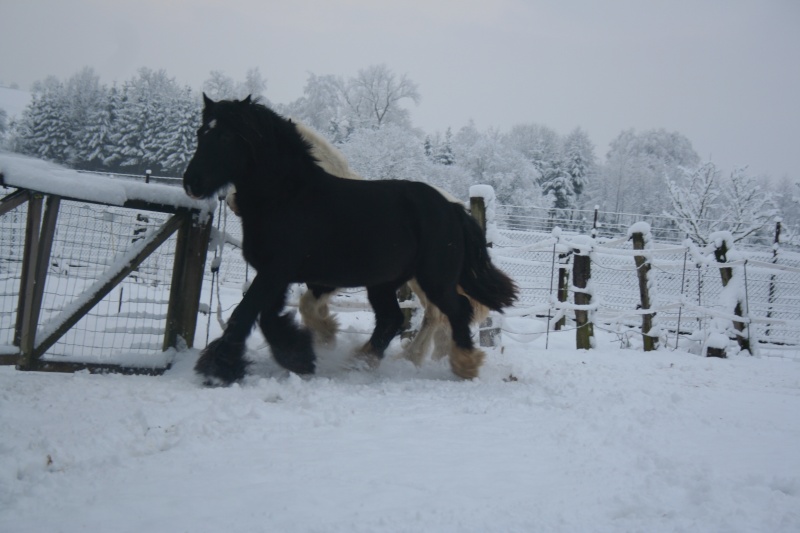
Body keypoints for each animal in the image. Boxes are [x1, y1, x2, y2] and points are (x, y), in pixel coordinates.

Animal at [183, 95, 520, 384]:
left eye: (226, 137)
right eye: (200, 132)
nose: (191, 183)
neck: (289, 196)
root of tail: (452, 208)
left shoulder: (279, 271)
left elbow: (246, 312)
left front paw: (219, 369)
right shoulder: (285, 275)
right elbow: (271, 314)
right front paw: (303, 352)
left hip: (432, 279)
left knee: (451, 311)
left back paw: (458, 363)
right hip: (385, 282)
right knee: (394, 319)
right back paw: (365, 362)